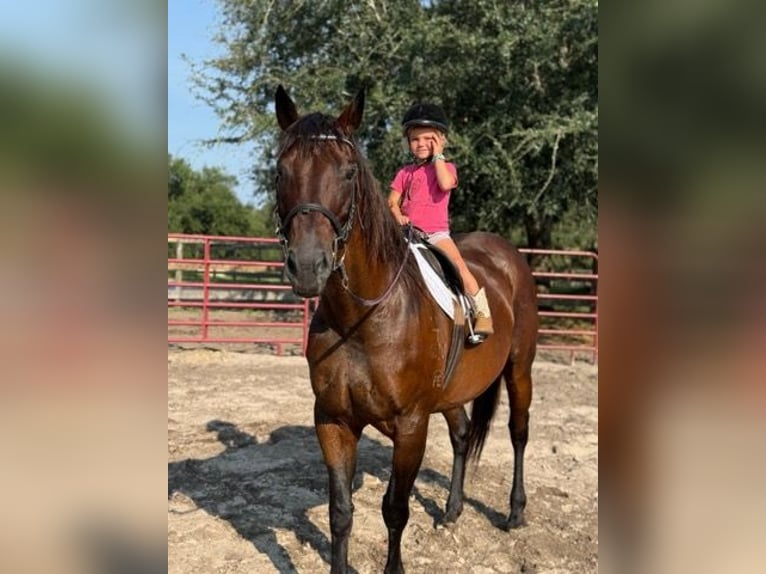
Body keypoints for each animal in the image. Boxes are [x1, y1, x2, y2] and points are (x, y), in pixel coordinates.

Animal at [273, 85, 538, 574]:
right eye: (281, 170)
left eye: (348, 172)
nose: (308, 265)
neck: (362, 318)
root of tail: (507, 253)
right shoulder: (333, 420)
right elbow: (341, 512)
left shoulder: (412, 425)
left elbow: (395, 509)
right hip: (452, 391)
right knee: (462, 433)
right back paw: (452, 510)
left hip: (520, 368)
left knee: (518, 432)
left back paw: (514, 512)